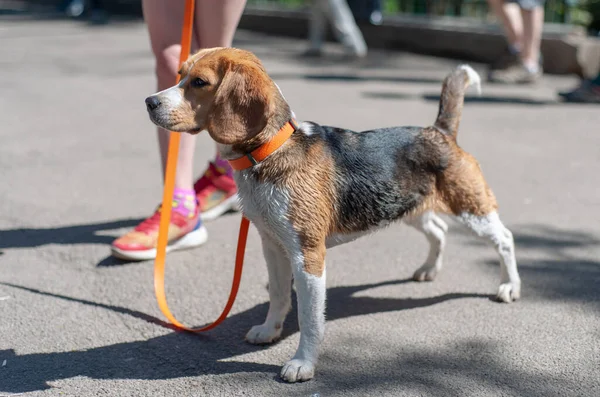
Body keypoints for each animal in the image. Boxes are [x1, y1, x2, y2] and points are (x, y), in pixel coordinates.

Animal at [145, 48, 520, 382]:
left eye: (199, 82)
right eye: (179, 75)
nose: (149, 101)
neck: (269, 151)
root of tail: (440, 131)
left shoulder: (307, 255)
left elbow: (310, 318)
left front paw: (302, 364)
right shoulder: (272, 245)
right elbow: (278, 295)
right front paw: (269, 330)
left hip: (471, 209)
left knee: (504, 239)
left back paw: (509, 286)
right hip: (409, 207)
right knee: (438, 230)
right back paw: (429, 269)